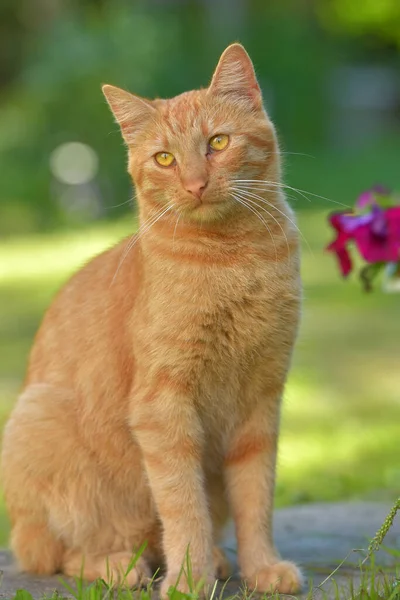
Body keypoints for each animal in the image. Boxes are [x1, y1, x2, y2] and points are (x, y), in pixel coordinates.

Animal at [1, 45, 304, 596]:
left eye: (218, 143)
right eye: (165, 158)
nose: (195, 184)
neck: (233, 260)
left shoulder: (261, 401)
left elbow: (256, 499)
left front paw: (261, 568)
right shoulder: (163, 409)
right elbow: (183, 505)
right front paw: (188, 579)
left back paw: (217, 561)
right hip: (39, 424)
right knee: (55, 554)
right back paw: (122, 566)